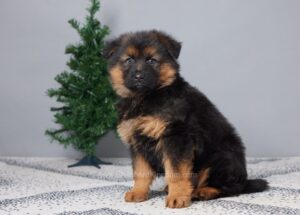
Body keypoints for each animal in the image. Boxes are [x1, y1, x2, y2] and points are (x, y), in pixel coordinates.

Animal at [103, 30, 268, 208]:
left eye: (152, 60)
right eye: (129, 60)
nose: (139, 76)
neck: (146, 97)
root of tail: (245, 179)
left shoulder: (176, 137)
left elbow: (176, 172)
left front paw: (178, 197)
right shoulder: (137, 142)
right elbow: (141, 171)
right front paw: (138, 192)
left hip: (221, 158)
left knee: (230, 187)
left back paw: (202, 192)